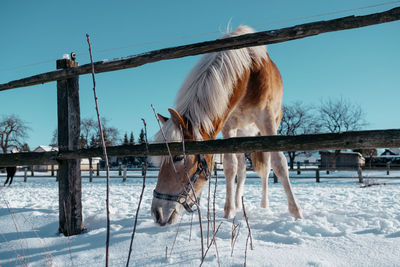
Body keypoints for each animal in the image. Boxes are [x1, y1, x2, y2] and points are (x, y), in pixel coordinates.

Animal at [152, 25, 302, 226]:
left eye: (178, 157)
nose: (157, 213)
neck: (248, 73)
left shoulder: (267, 120)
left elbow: (279, 163)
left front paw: (296, 213)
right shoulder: (228, 127)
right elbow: (230, 167)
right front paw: (229, 210)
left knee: (267, 167)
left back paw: (264, 205)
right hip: (240, 135)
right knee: (242, 168)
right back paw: (238, 204)